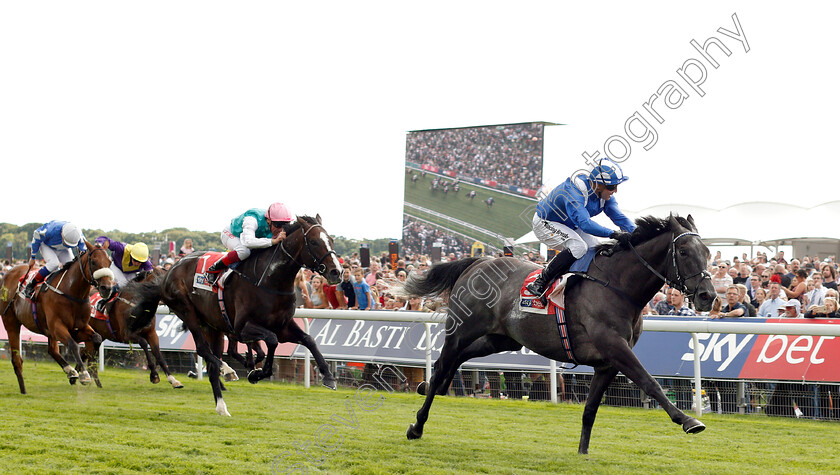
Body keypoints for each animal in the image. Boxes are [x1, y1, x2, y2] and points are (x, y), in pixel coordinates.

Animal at [0, 242, 115, 394]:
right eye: (94, 262)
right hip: (11, 323)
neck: (72, 293)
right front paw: (84, 375)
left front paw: (83, 372)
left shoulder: (79, 327)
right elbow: (73, 345)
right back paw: (23, 389)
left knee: (52, 350)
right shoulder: (57, 326)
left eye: (109, 262)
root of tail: (7, 275)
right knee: (17, 358)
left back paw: (70, 371)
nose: (107, 288)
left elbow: (96, 338)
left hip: (46, 330)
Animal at [129, 216, 344, 416]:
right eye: (314, 242)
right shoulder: (242, 328)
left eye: (331, 240)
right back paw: (227, 370)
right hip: (187, 312)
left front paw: (328, 376)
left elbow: (308, 339)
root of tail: (167, 272)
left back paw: (221, 406)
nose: (337, 272)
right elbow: (271, 340)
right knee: (202, 349)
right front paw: (256, 373)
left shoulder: (283, 326)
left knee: (211, 363)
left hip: (213, 326)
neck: (270, 280)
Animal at [406, 215, 716, 454]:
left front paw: (582, 452)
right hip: (461, 328)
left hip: (501, 338)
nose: (708, 296)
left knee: (459, 357)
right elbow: (650, 382)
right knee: (444, 362)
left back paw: (430, 385)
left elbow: (590, 409)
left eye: (708, 253)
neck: (617, 286)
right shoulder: (616, 348)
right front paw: (688, 420)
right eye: (684, 252)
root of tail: (478, 262)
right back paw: (418, 423)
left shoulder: (607, 363)